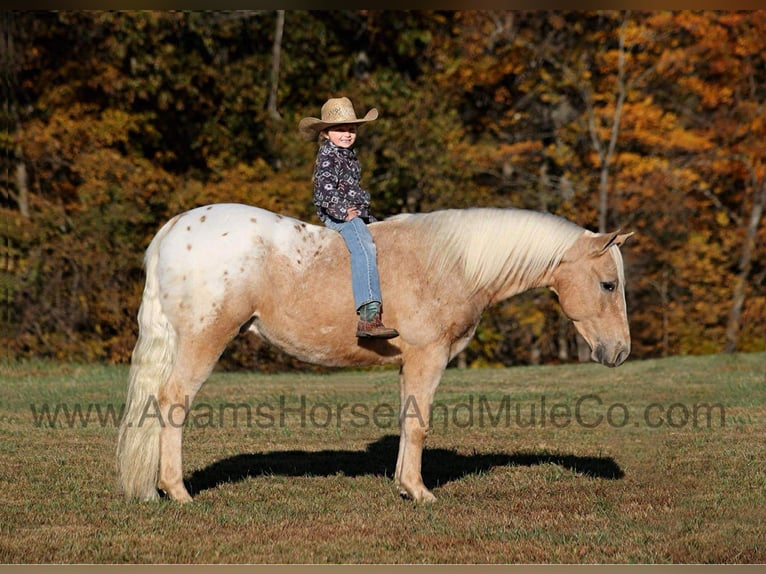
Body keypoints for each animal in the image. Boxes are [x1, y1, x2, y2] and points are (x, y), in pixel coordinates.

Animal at [117, 203, 632, 503]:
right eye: (608, 284)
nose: (621, 351)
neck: (453, 262)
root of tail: (174, 229)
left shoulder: (411, 364)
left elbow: (408, 420)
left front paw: (405, 485)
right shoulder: (429, 357)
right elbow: (420, 423)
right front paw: (420, 493)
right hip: (204, 340)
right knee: (173, 402)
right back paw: (177, 492)